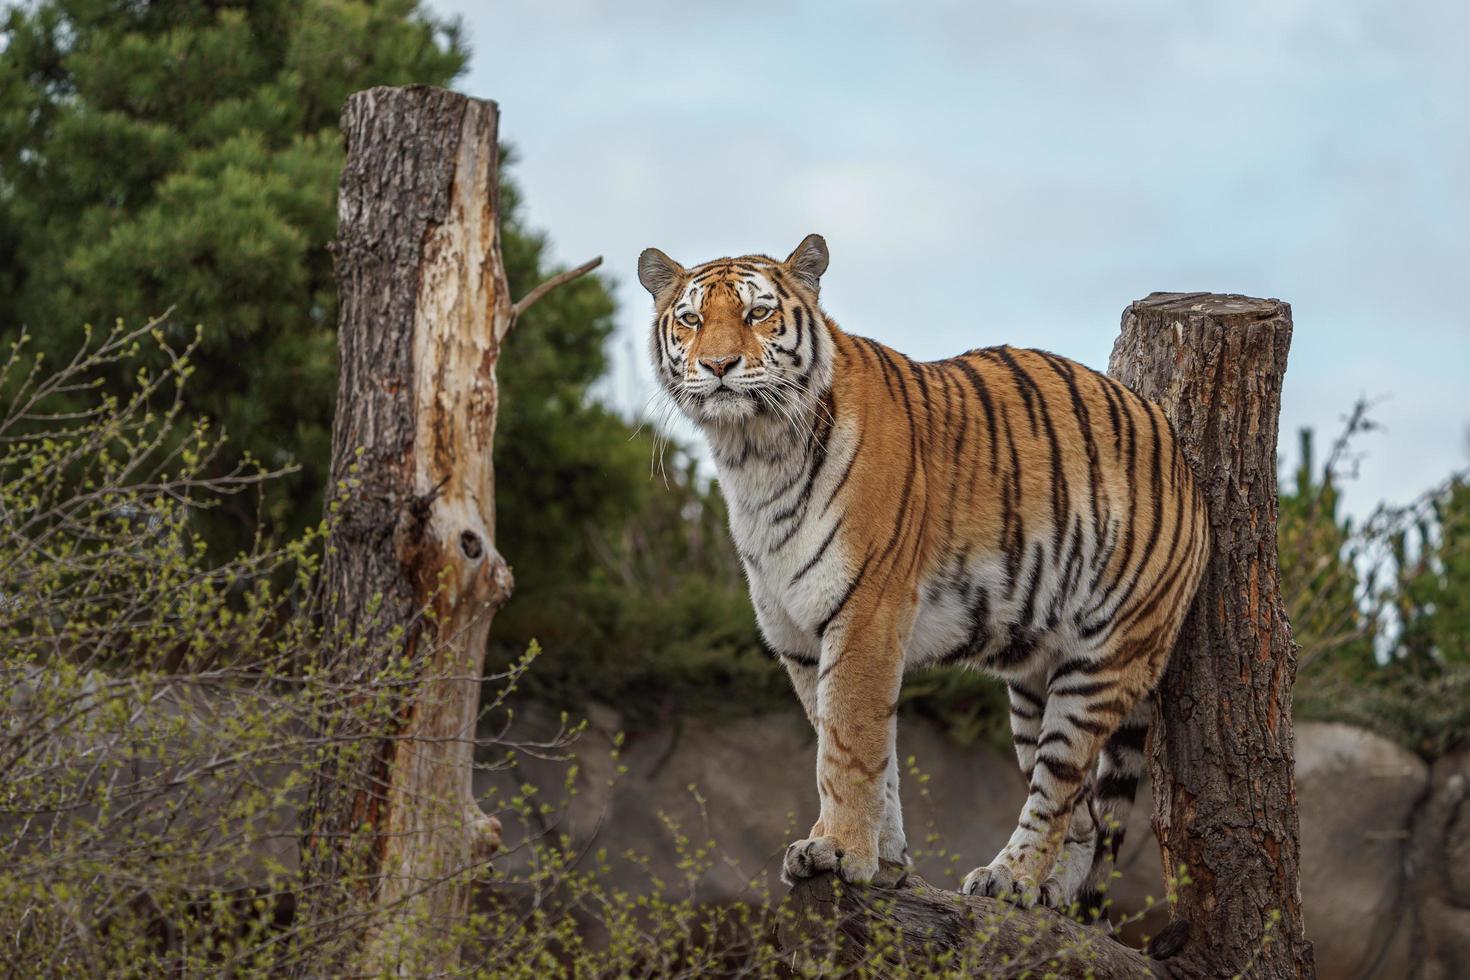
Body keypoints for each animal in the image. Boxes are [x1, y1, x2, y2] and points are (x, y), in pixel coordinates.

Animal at [637, 232, 1211, 910]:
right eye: (691, 320)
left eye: (757, 314)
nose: (719, 365)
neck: (752, 454)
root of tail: (1180, 454)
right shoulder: (798, 638)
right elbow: (861, 750)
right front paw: (882, 861)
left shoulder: (865, 616)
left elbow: (848, 747)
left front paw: (839, 851)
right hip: (1032, 682)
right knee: (1084, 815)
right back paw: (1048, 896)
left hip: (1102, 660)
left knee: (1059, 788)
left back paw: (1010, 878)